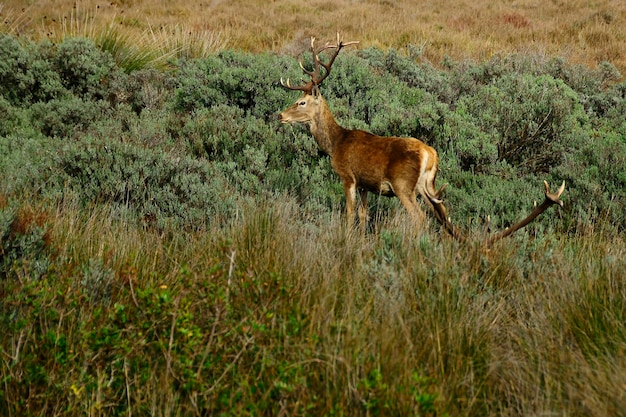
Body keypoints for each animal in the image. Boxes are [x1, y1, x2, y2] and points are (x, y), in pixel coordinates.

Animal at [278, 33, 560, 244]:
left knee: (420, 218)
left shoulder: (348, 176)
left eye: (301, 101)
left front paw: (346, 240)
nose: (280, 115)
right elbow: (364, 216)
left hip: (404, 185)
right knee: (443, 216)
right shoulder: (366, 184)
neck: (335, 143)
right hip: (429, 185)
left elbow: (349, 213)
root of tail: (430, 154)